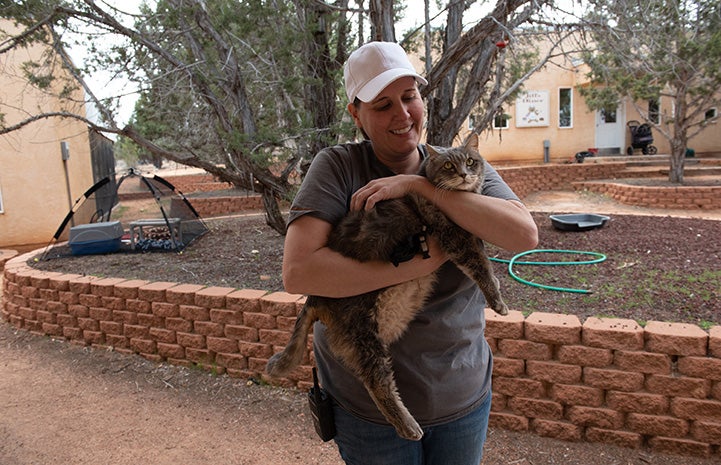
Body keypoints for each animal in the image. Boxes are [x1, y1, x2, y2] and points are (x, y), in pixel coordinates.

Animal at [268, 132, 510, 440]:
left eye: (470, 161)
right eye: (448, 166)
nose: (465, 175)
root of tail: (315, 298)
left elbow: (483, 259)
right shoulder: (454, 237)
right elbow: (481, 266)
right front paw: (497, 300)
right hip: (363, 335)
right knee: (377, 382)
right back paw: (408, 425)